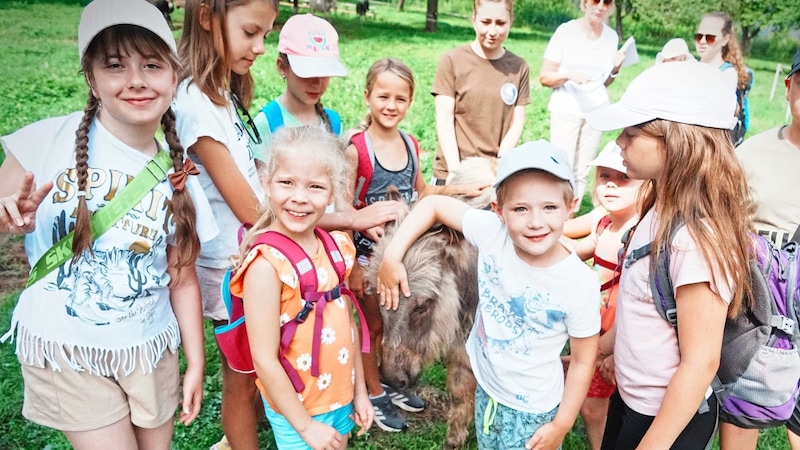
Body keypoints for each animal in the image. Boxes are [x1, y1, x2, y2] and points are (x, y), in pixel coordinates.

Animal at [368, 156, 494, 448]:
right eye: (380, 299)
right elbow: (460, 390)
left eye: (422, 306)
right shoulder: (460, 342)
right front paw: (455, 439)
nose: (391, 378)